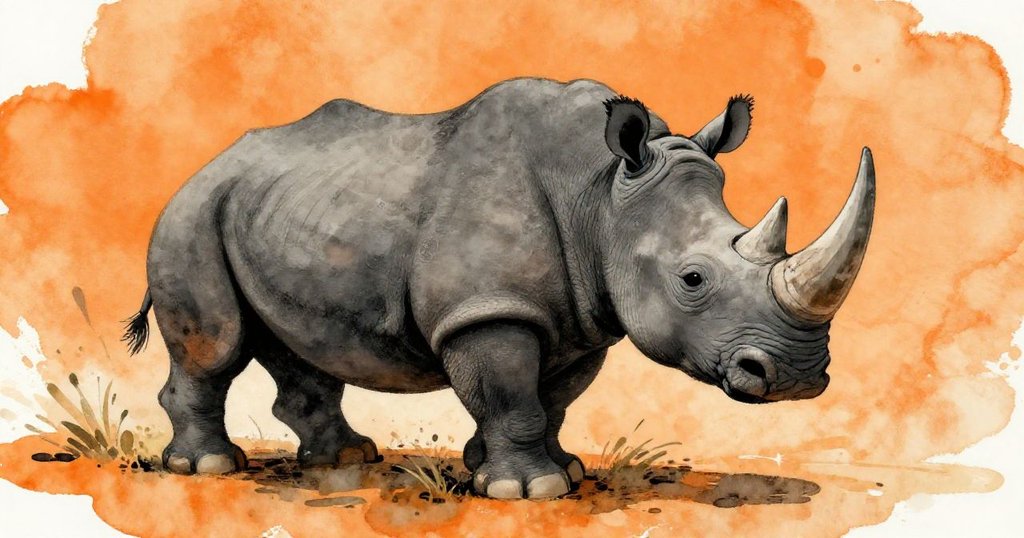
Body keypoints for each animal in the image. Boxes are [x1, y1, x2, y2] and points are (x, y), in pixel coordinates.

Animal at [123, 77, 874, 499]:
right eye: (693, 278)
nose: (798, 377)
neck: (601, 193)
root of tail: (206, 164)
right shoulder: (486, 311)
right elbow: (512, 394)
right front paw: (529, 489)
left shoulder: (578, 319)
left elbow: (553, 399)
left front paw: (549, 470)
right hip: (192, 215)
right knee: (216, 345)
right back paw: (208, 470)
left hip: (271, 211)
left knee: (296, 342)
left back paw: (346, 459)